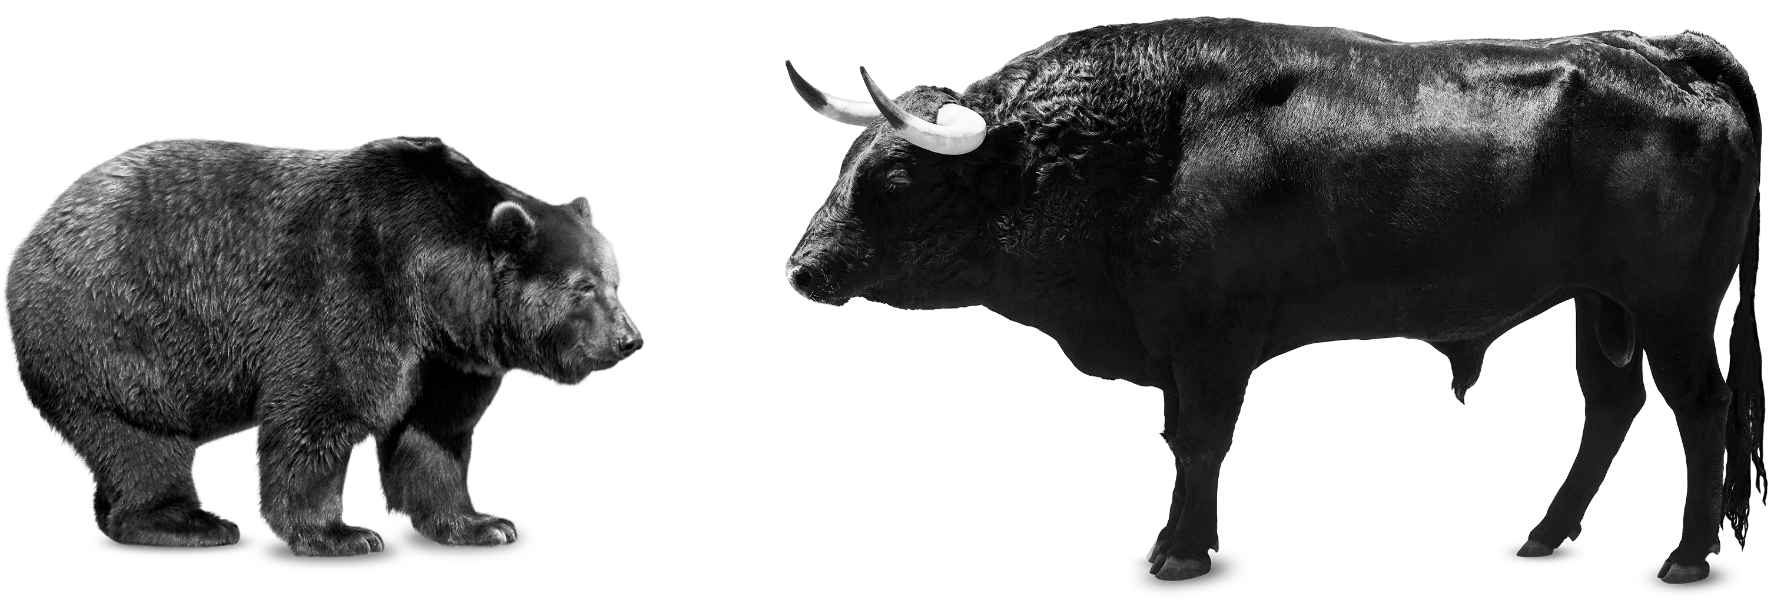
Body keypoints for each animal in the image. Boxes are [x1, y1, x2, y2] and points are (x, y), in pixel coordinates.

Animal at [2, 136, 643, 557]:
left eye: (615, 276)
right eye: (582, 286)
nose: (627, 339)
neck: (433, 287)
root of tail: (35, 229)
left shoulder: (449, 358)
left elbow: (434, 434)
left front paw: (481, 523)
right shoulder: (349, 289)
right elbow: (321, 410)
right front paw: (341, 532)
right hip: (110, 327)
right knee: (140, 434)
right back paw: (189, 522)